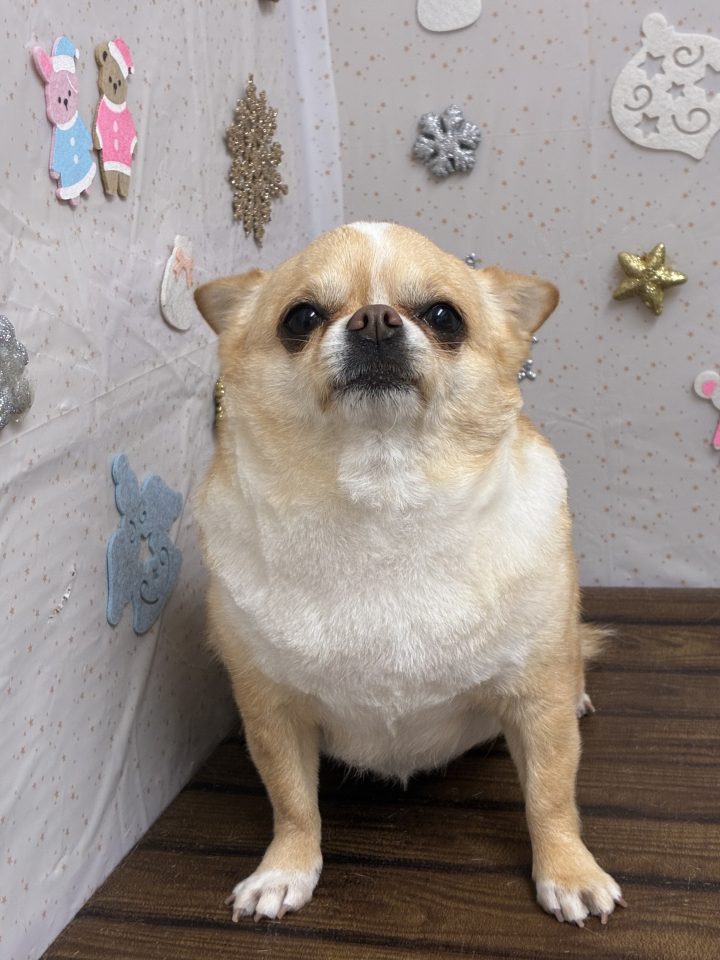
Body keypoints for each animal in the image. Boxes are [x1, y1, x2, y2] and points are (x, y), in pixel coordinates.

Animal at [193, 222, 623, 927]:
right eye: (300, 319)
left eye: (444, 316)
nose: (373, 318)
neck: (384, 504)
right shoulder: (271, 712)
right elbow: (292, 802)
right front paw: (285, 870)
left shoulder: (539, 703)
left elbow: (551, 795)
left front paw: (568, 871)